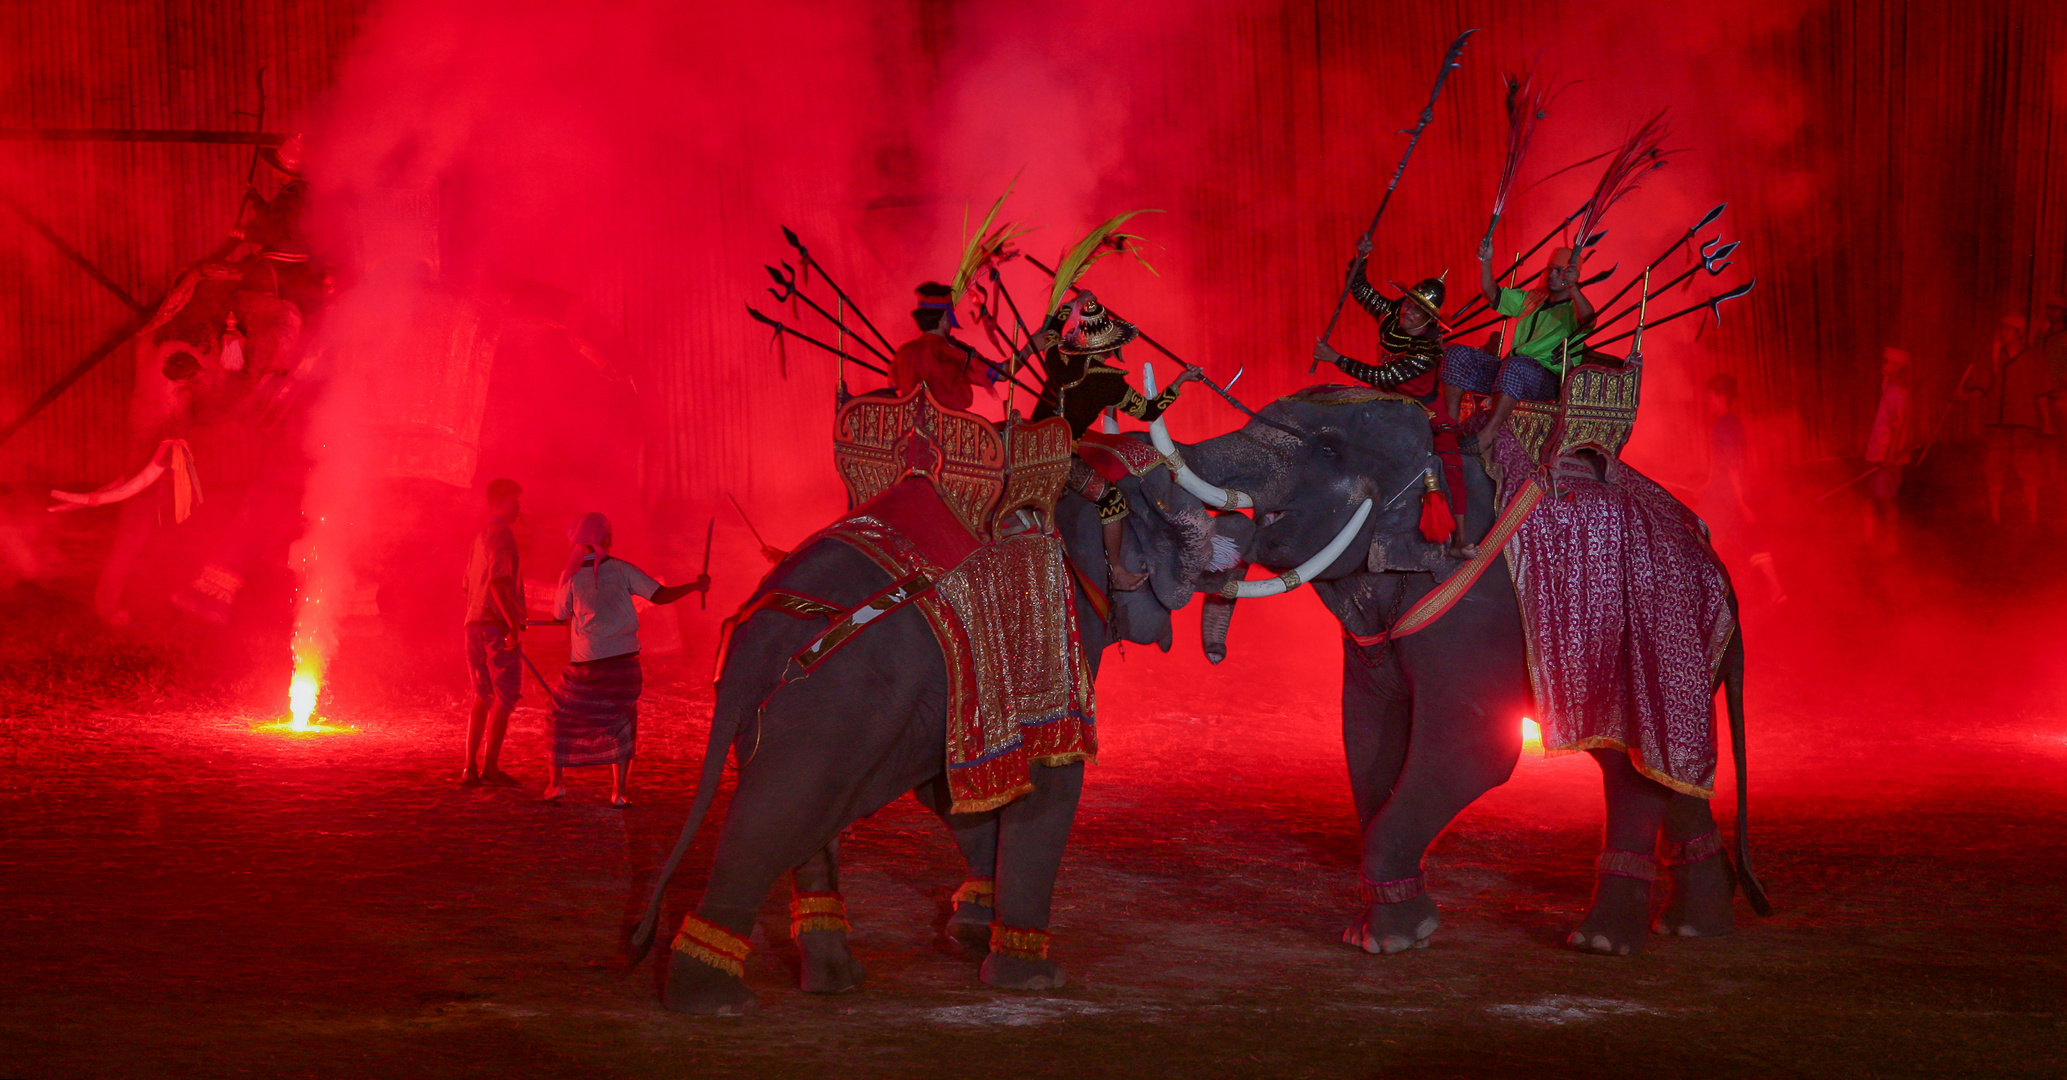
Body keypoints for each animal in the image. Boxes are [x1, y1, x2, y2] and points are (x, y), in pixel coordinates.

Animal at [1165, 384, 1761, 951]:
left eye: (1329, 448)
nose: (1215, 656)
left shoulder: (1473, 613)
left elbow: (1469, 750)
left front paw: (1388, 941)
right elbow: (1369, 740)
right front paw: (1384, 930)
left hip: (1652, 638)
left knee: (1633, 772)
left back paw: (1603, 941)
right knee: (1658, 768)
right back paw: (1696, 926)